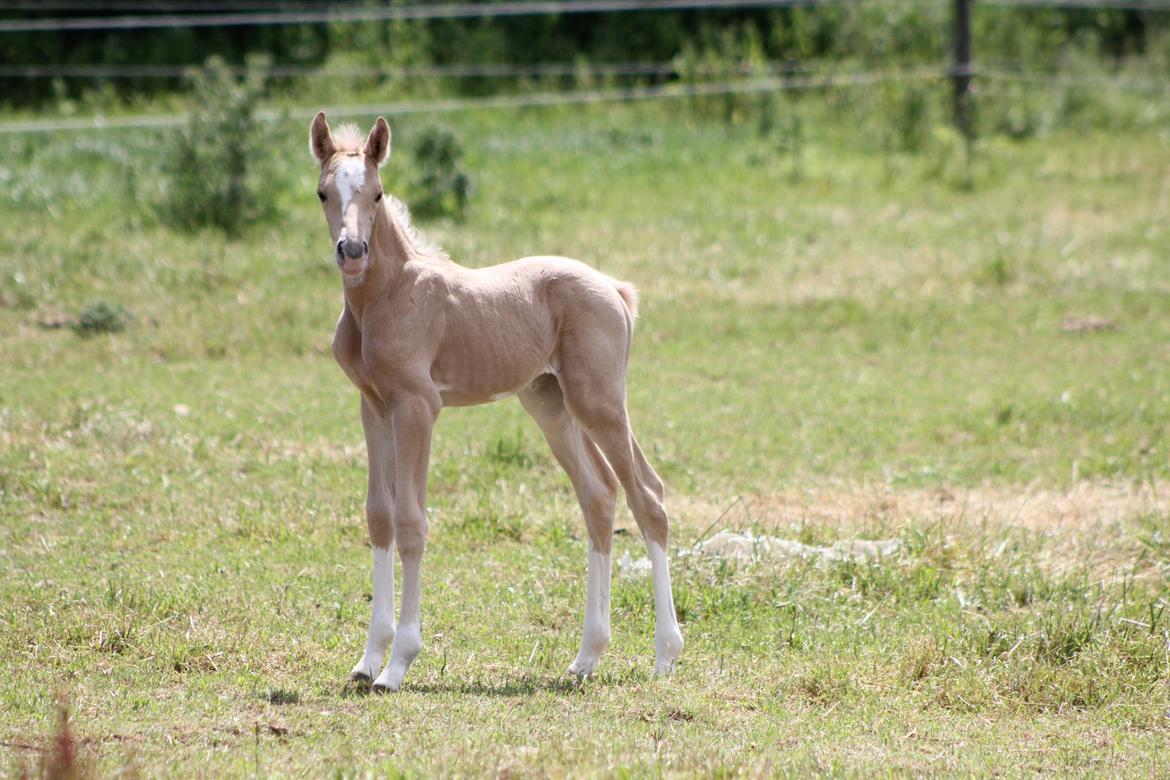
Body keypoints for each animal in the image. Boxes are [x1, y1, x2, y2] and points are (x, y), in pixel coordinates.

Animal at [308, 112, 683, 692]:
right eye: (324, 192)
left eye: (377, 193)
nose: (352, 253)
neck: (386, 297)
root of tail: (616, 290)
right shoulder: (373, 407)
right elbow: (379, 515)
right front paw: (368, 659)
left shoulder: (418, 406)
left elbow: (412, 520)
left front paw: (397, 664)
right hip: (550, 404)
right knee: (599, 495)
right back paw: (586, 657)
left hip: (598, 400)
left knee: (647, 495)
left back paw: (664, 654)